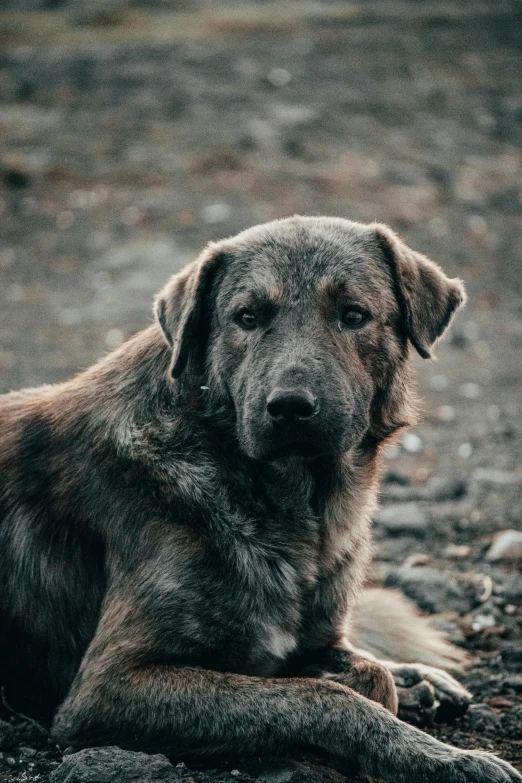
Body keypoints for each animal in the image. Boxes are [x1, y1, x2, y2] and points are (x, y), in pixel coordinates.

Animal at [0, 216, 516, 783]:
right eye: (246, 318)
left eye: (353, 315)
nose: (289, 408)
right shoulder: (107, 688)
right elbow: (325, 697)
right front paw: (444, 757)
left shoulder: (319, 635)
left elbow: (355, 668)